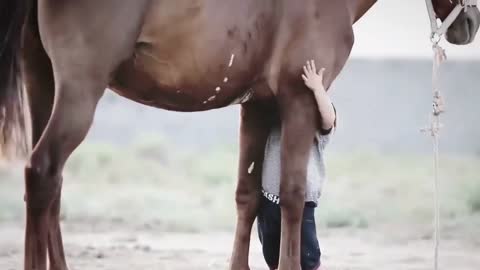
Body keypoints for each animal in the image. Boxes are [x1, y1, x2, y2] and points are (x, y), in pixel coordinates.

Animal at [0, 0, 478, 270]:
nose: (470, 22)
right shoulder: (300, 101)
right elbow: (292, 194)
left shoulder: (258, 105)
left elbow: (247, 195)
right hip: (80, 90)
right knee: (42, 173)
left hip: (44, 84)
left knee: (52, 184)